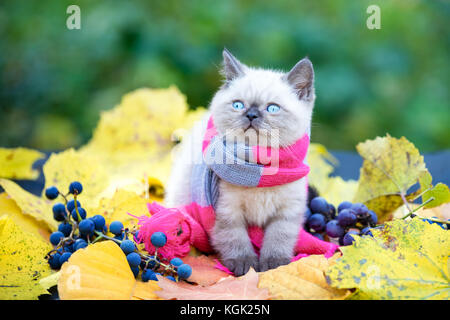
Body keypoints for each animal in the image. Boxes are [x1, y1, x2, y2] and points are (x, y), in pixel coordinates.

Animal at [165, 48, 316, 276]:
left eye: (272, 108)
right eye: (238, 105)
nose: (251, 114)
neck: (259, 169)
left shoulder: (287, 211)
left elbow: (278, 238)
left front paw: (274, 265)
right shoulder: (226, 210)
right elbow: (235, 239)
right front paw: (245, 265)